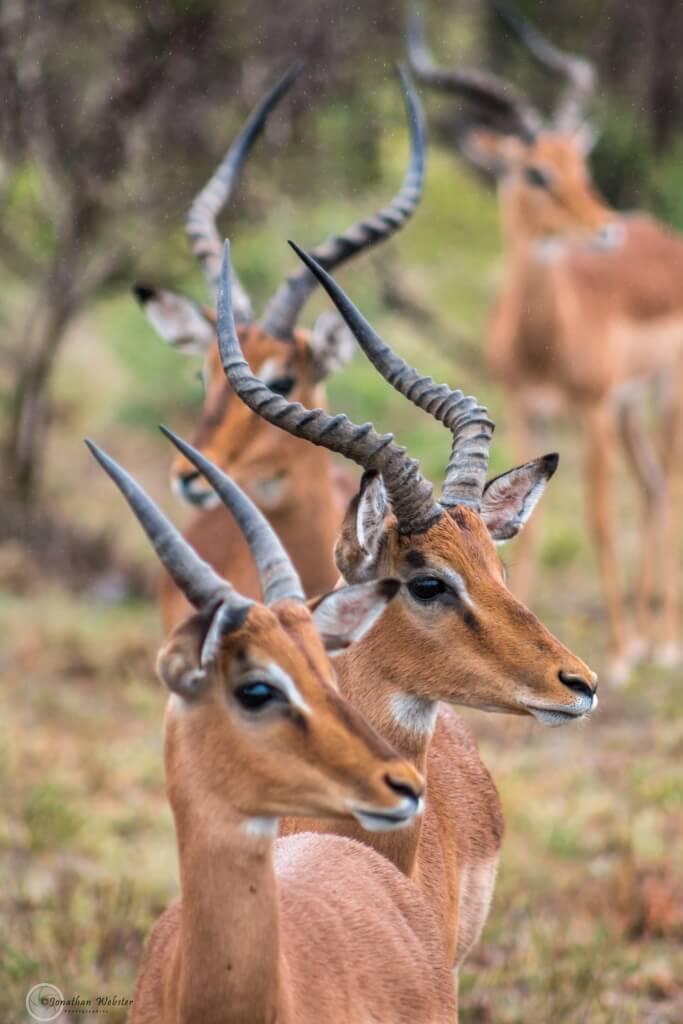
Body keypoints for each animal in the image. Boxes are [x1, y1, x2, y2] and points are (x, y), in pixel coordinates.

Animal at [408, 4, 683, 683]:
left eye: (580, 166)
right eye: (536, 171)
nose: (605, 228)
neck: (544, 342)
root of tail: (660, 235)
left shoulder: (591, 411)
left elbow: (599, 519)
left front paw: (619, 654)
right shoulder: (526, 408)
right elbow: (520, 526)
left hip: (662, 393)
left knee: (669, 483)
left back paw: (661, 643)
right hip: (628, 409)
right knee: (652, 486)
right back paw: (649, 634)